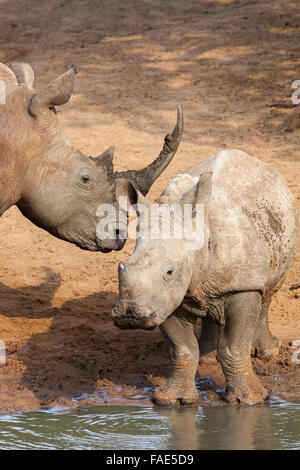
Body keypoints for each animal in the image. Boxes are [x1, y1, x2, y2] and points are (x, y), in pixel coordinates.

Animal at [112, 150, 298, 404]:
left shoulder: (242, 285)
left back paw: (266, 352)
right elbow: (182, 349)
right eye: (126, 265)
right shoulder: (165, 298)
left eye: (169, 272)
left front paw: (250, 399)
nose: (129, 316)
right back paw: (207, 359)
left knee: (268, 292)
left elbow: (233, 346)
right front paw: (173, 399)